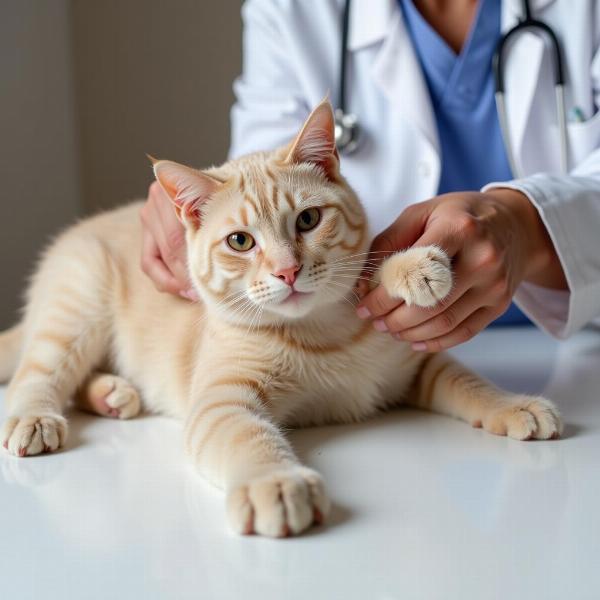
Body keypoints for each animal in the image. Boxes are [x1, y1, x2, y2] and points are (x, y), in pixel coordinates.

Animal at [0, 99, 564, 540]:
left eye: (309, 219)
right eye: (240, 241)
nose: (287, 271)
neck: (323, 335)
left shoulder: (416, 367)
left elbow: (467, 380)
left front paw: (511, 402)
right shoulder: (222, 402)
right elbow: (248, 438)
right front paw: (274, 484)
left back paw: (111, 395)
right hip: (75, 313)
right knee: (36, 374)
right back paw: (38, 418)